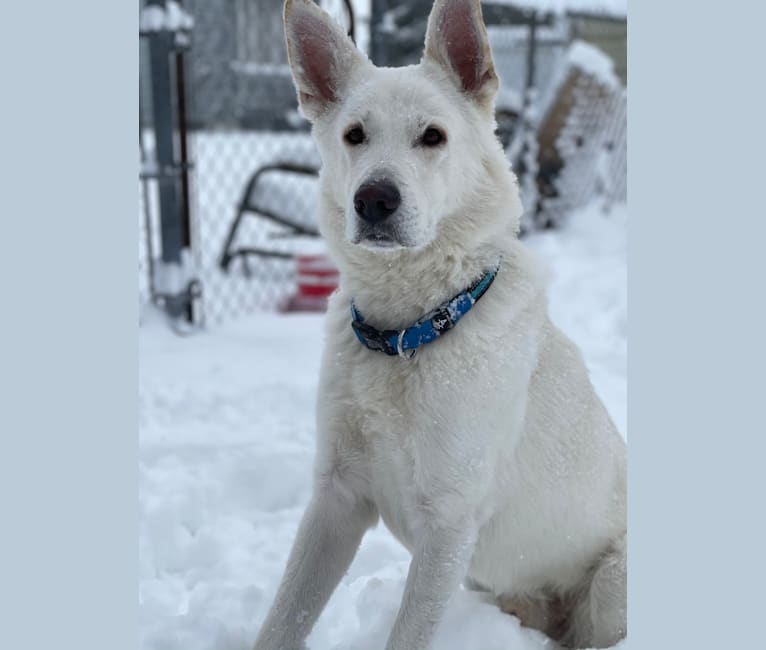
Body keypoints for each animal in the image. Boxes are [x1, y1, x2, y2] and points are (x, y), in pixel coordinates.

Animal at [255, 2, 628, 644]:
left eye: (433, 136)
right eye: (354, 135)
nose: (374, 200)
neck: (409, 332)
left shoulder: (448, 521)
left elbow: (408, 634)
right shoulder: (336, 499)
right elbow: (284, 618)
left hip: (608, 588)